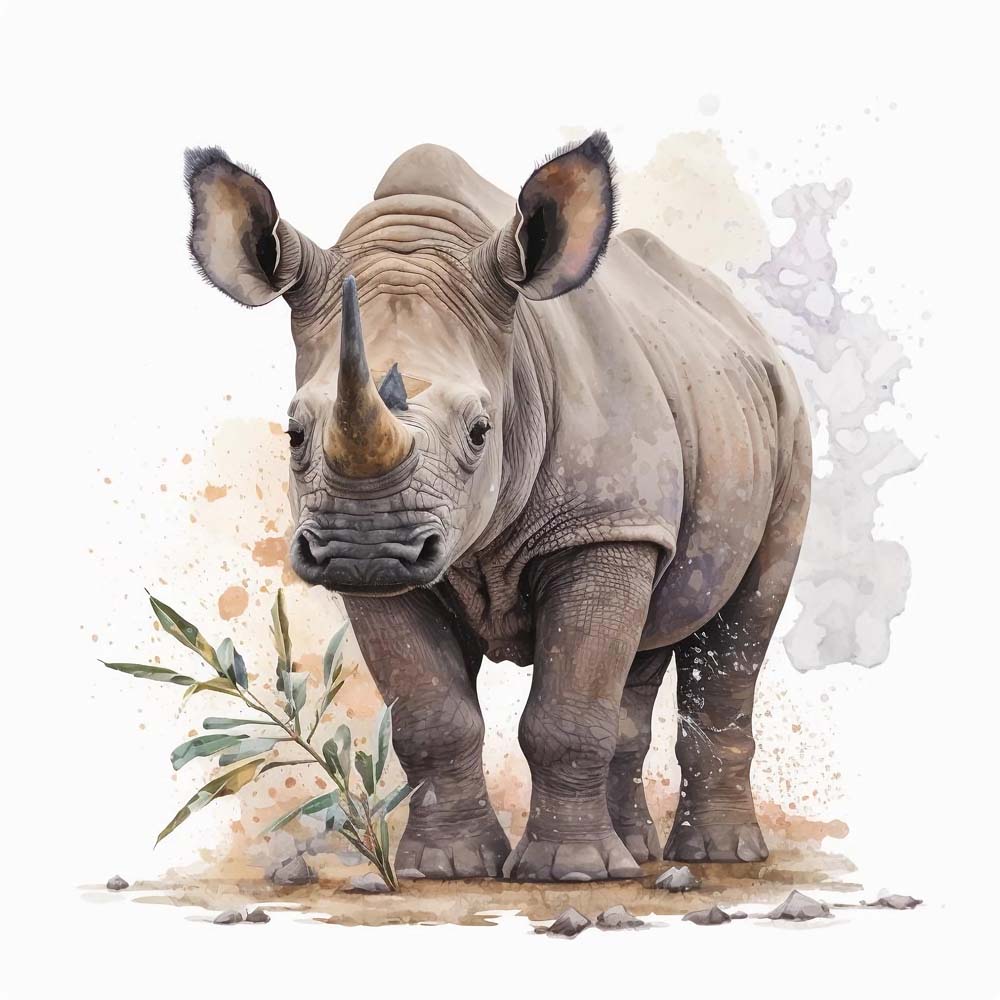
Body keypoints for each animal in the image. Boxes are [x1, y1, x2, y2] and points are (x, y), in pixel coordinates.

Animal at [184, 132, 811, 881]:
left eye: (481, 431)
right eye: (294, 432)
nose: (367, 547)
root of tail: (749, 328)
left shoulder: (600, 525)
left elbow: (568, 710)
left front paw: (570, 871)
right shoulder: (388, 568)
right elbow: (432, 714)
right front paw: (448, 867)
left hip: (787, 417)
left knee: (743, 619)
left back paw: (720, 857)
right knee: (648, 636)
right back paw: (635, 855)